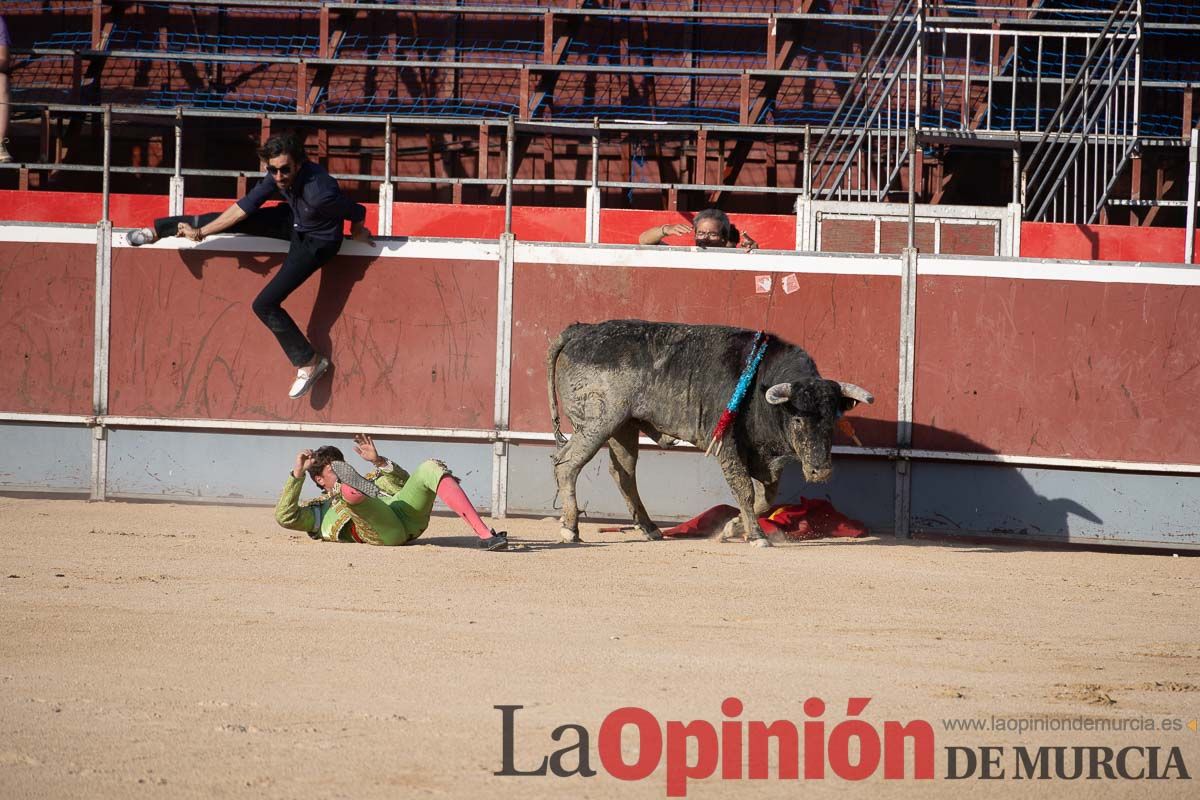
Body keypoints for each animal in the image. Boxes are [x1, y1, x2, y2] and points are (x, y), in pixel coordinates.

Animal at [547, 316, 873, 544]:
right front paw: (757, 537)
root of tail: (581, 330)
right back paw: (570, 528)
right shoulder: (727, 445)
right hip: (597, 424)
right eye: (797, 420)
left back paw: (650, 528)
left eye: (832, 419)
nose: (820, 471)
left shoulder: (766, 459)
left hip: (622, 427)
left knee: (622, 473)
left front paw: (732, 527)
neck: (760, 387)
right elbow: (744, 489)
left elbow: (765, 498)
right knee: (568, 464)